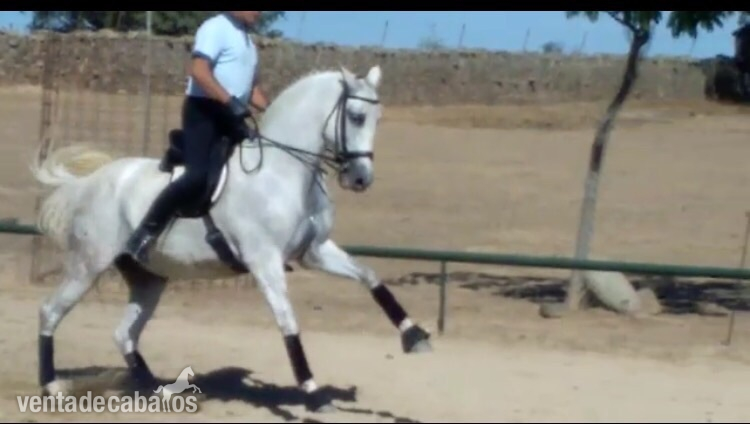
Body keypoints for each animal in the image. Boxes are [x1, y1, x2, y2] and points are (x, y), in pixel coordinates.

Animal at [30, 65, 432, 413]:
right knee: (50, 312)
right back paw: (53, 386)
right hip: (88, 265)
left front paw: (414, 335)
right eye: (357, 117)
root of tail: (92, 181)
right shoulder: (265, 262)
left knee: (123, 333)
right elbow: (288, 322)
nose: (361, 179)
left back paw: (157, 390)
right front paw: (313, 392)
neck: (283, 173)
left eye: (378, 119)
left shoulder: (313, 252)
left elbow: (369, 276)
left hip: (149, 279)